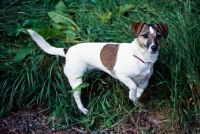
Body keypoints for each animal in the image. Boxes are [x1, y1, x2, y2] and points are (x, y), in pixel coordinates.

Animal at [27, 22, 169, 114]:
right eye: (145, 35)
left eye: (159, 36)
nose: (154, 48)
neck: (141, 57)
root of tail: (67, 51)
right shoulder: (120, 74)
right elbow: (133, 86)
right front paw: (132, 95)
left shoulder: (145, 81)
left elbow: (139, 91)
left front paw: (135, 101)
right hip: (77, 81)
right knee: (76, 96)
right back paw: (83, 110)